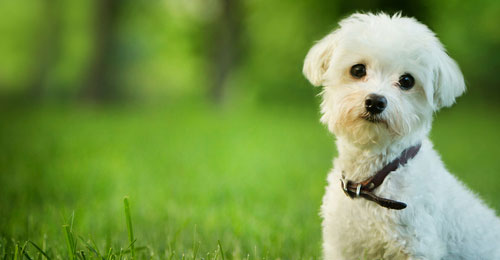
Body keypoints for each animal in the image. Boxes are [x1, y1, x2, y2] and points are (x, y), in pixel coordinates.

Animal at [302, 12, 498, 260]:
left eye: (407, 81)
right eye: (358, 70)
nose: (375, 101)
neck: (374, 180)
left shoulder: (419, 245)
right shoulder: (342, 246)